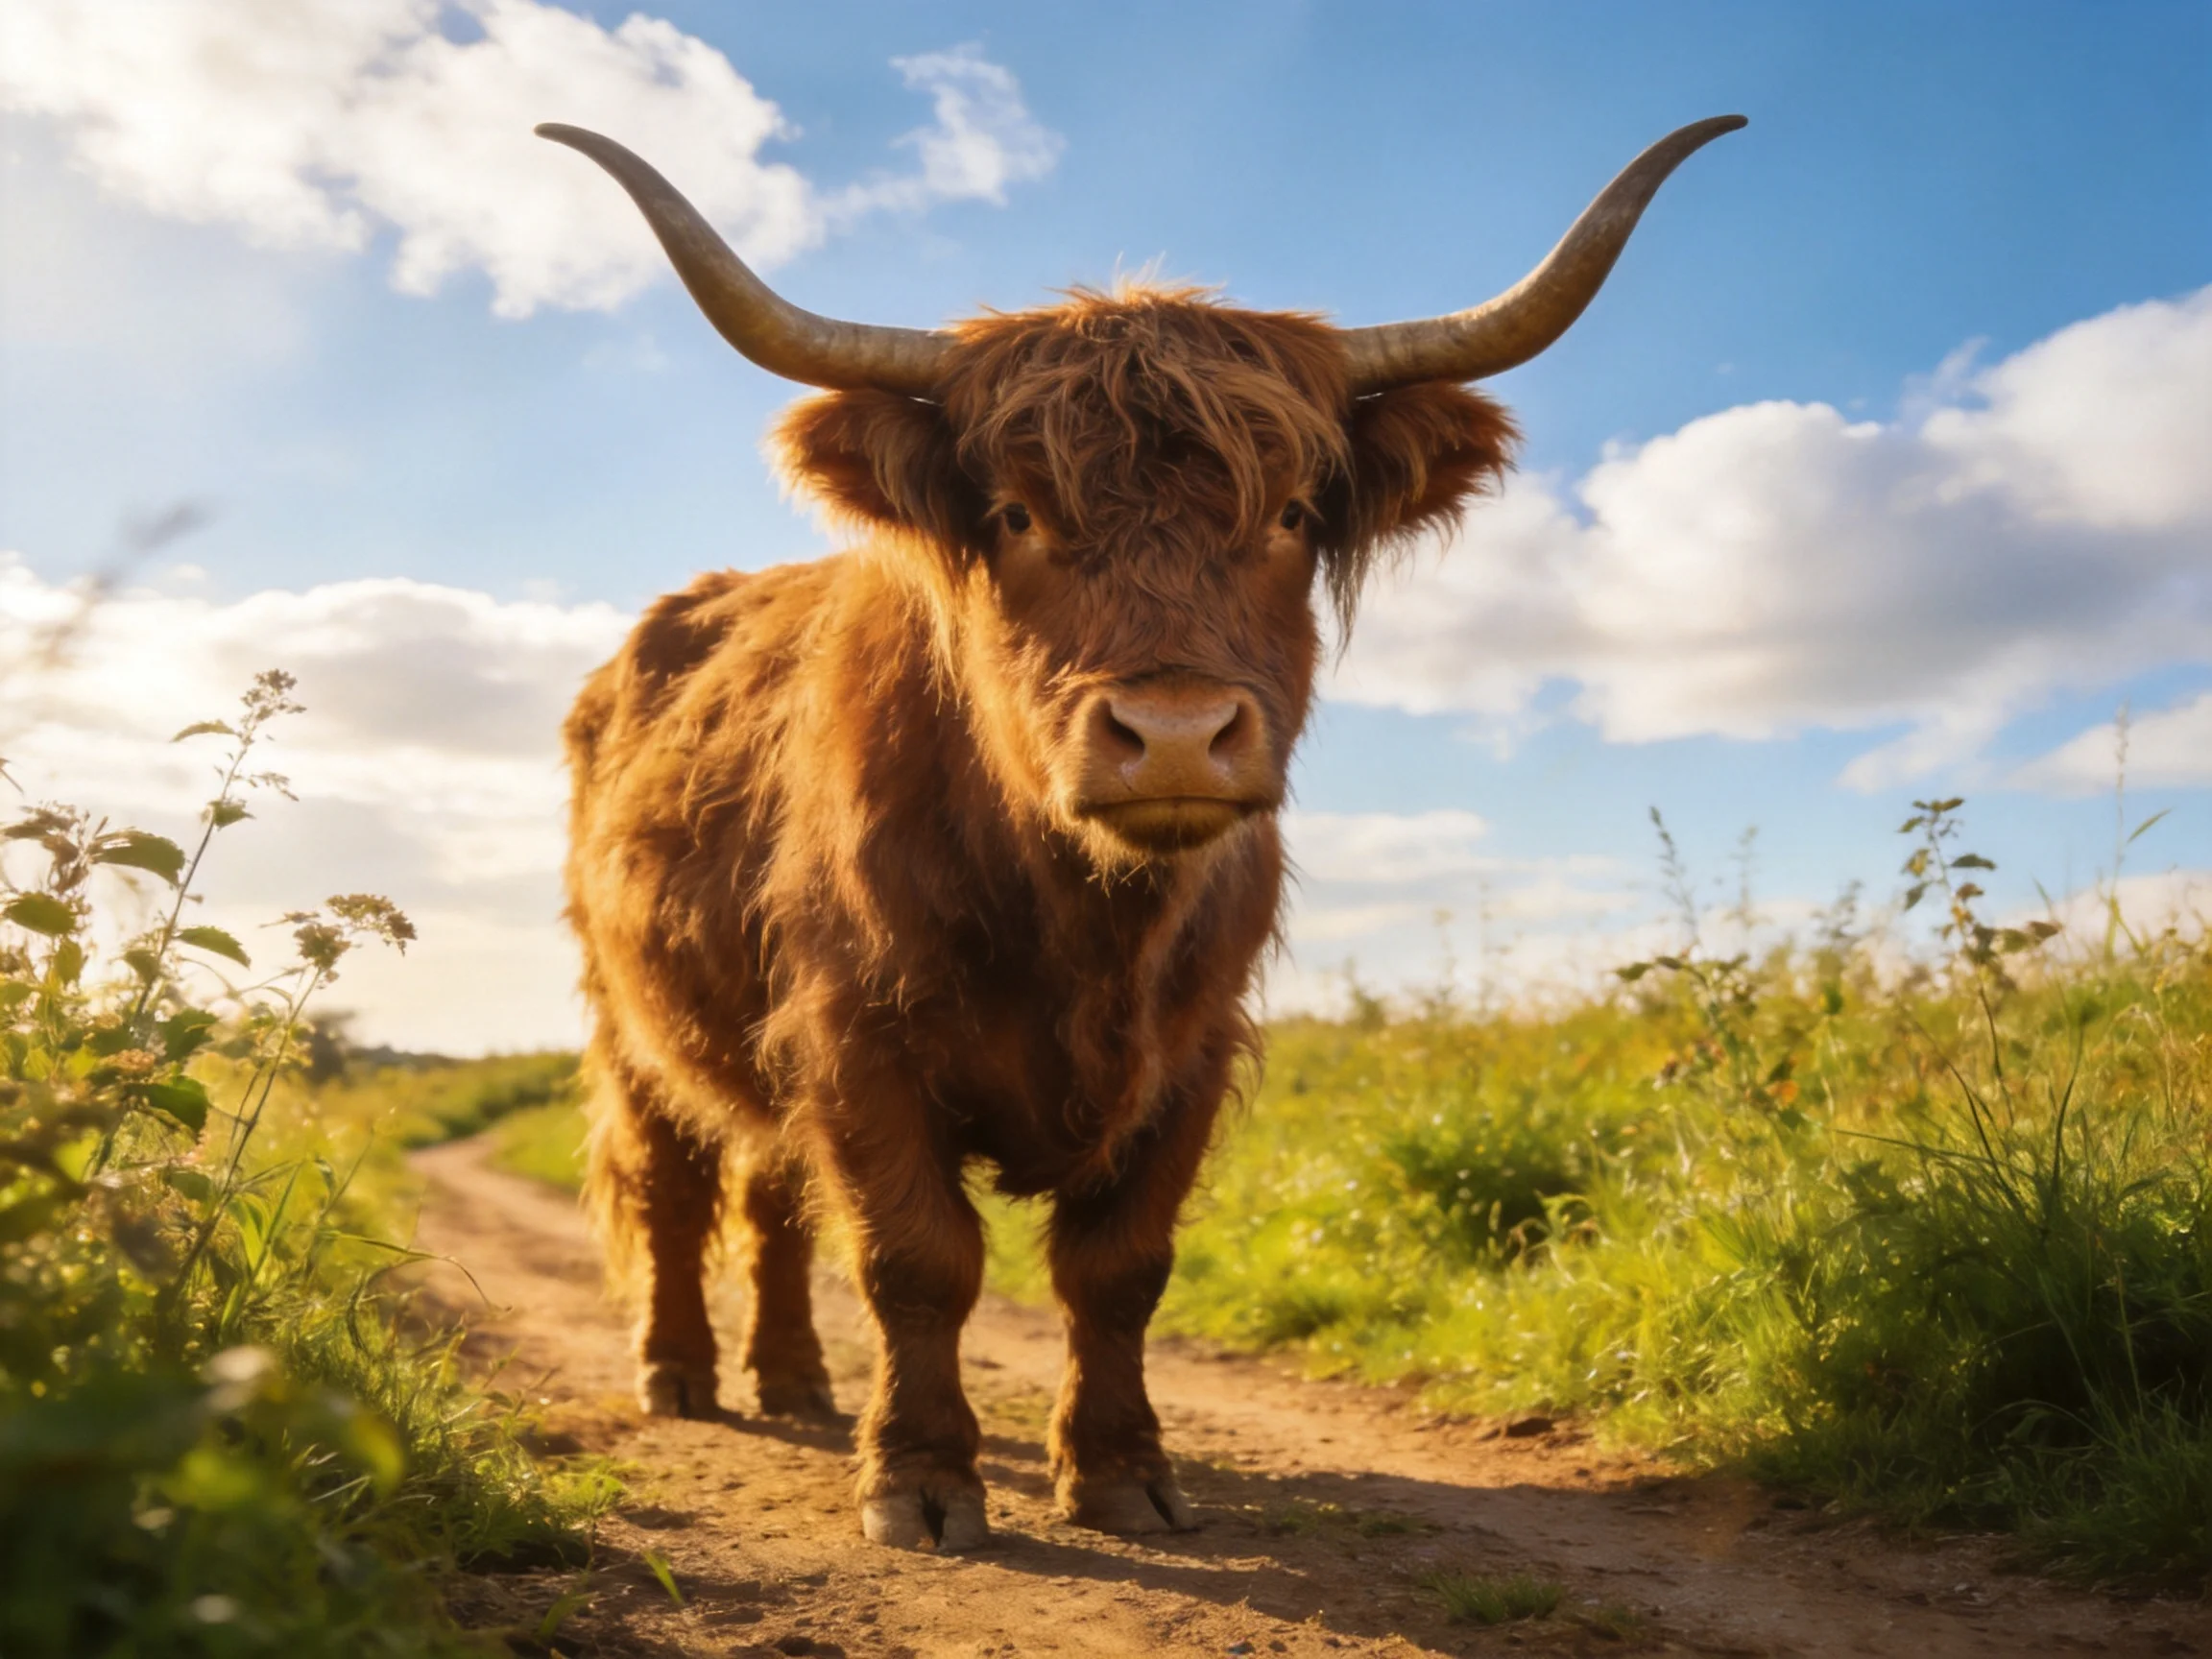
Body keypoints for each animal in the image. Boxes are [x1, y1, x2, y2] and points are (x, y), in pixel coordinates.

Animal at [547, 113, 1742, 1551]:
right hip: (632, 1019)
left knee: (776, 1205)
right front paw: (922, 1482)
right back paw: (678, 1373)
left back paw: (792, 1381)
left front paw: (1118, 1471)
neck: (1084, 920)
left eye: (1291, 514)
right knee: (672, 1186)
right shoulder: (854, 1033)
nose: (1172, 732)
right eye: (1016, 513)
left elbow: (1118, 1268)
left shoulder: (1190, 1049)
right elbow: (916, 1257)